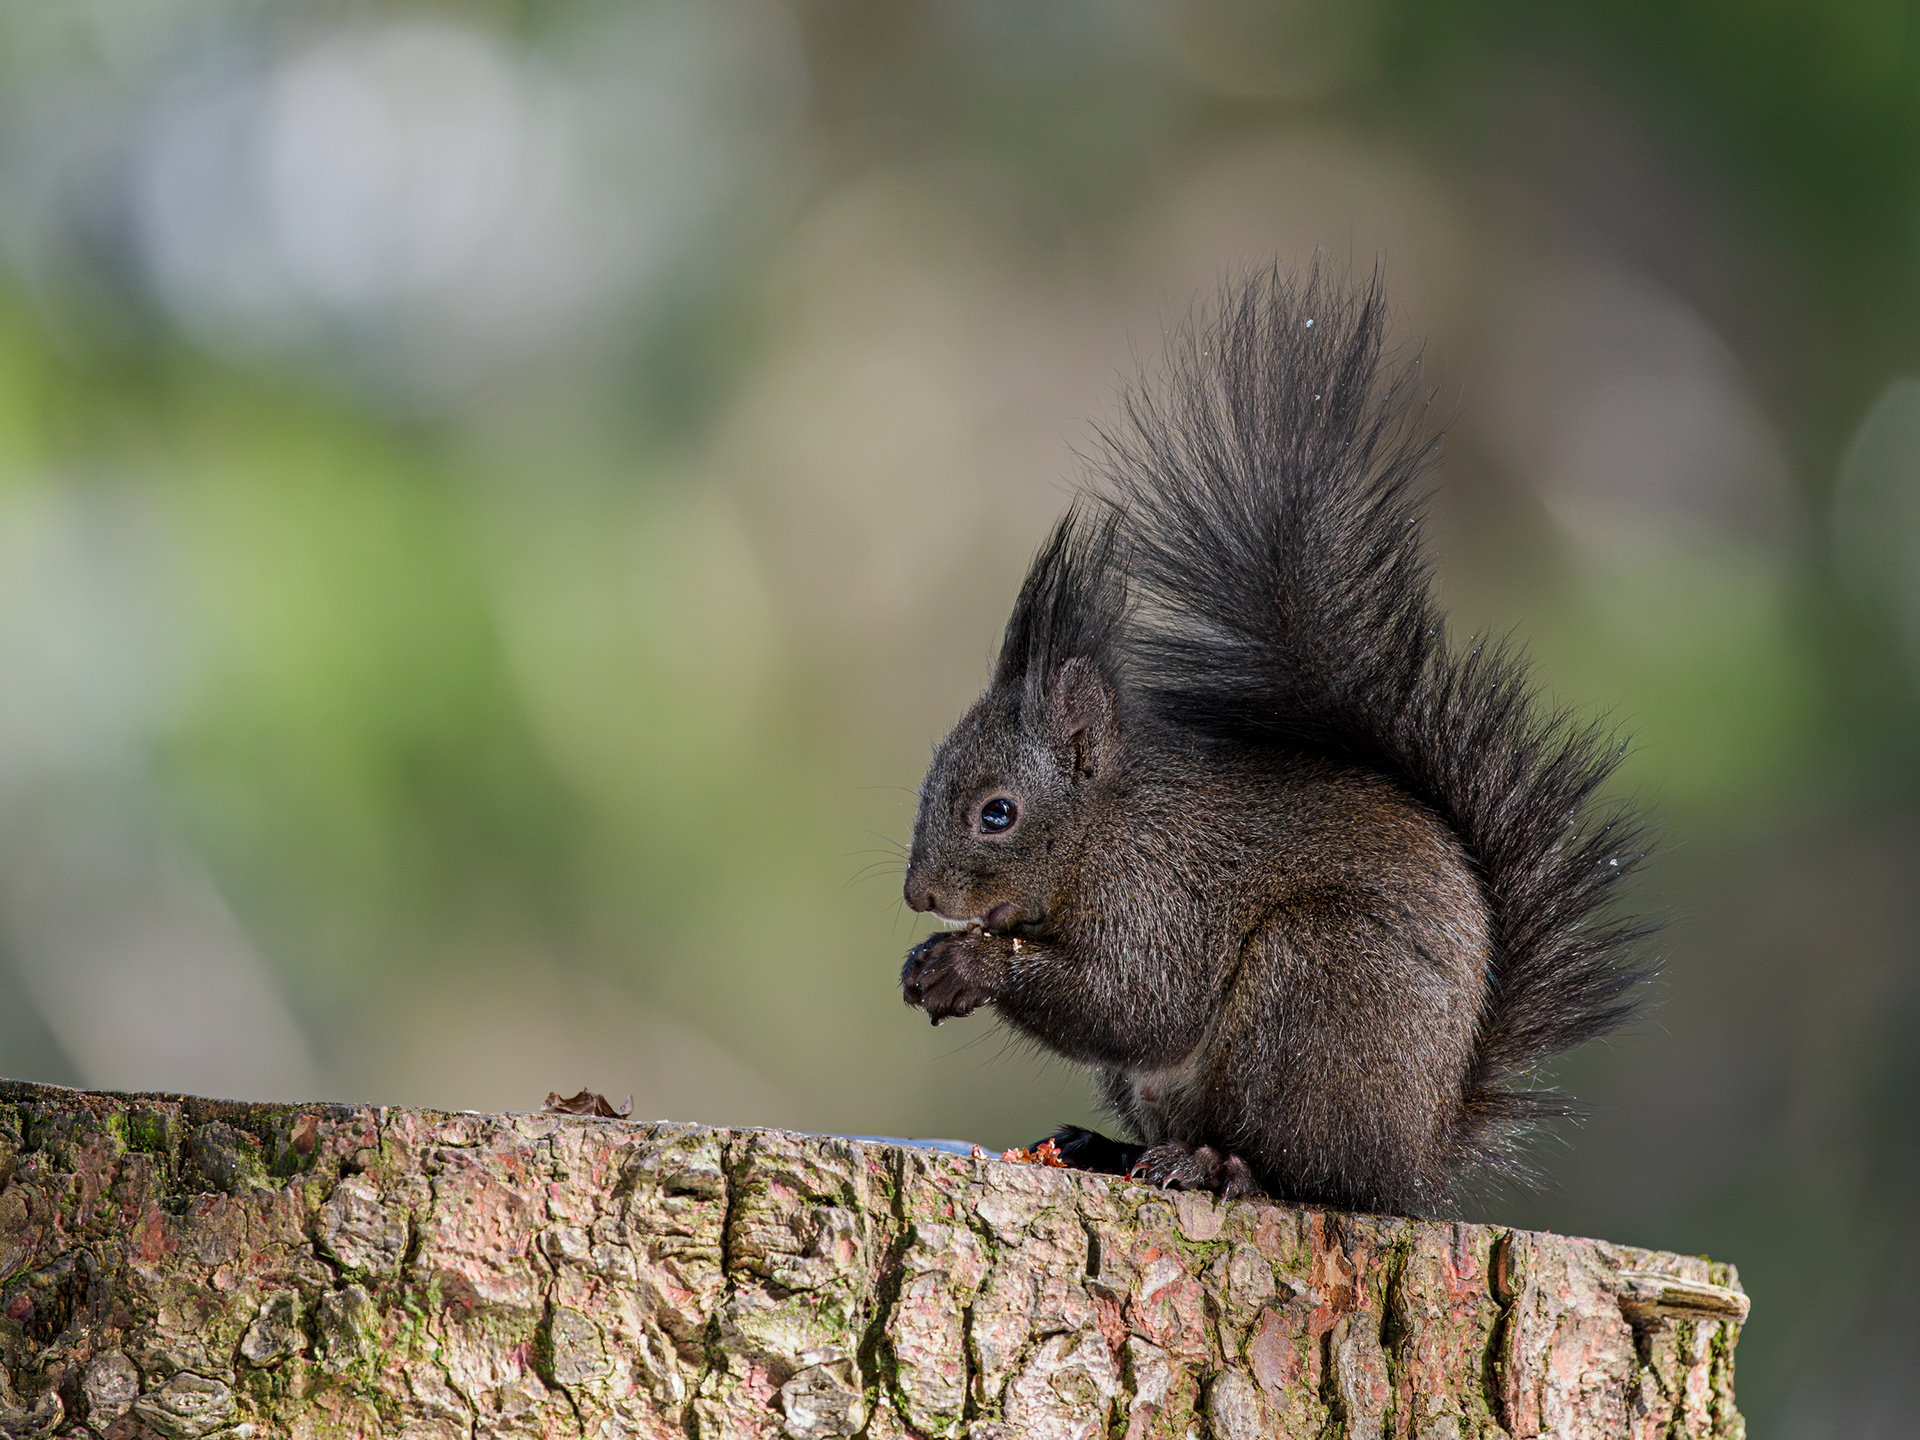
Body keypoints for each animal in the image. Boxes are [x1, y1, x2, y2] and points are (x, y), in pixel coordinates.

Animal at [897, 267, 1650, 1219]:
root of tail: (1418, 1158)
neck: (1106, 829)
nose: (920, 896)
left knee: (1307, 1176)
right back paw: (1109, 1148)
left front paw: (966, 965)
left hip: (1316, 991)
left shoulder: (1164, 893)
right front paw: (928, 961)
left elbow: (1140, 1004)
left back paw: (1219, 1168)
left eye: (997, 814)